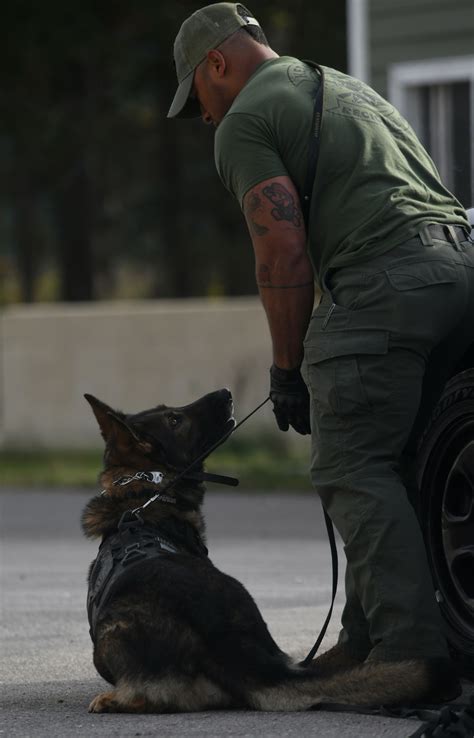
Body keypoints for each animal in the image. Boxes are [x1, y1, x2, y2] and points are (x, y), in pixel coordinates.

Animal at [83, 388, 458, 712]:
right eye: (174, 419)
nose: (225, 392)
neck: (144, 496)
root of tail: (237, 649)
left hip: (109, 636)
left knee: (146, 696)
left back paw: (113, 699)